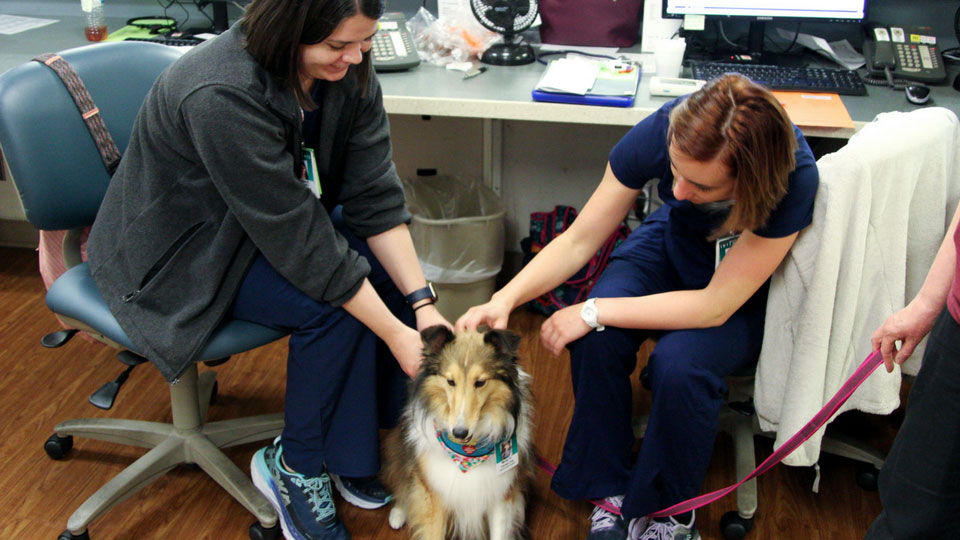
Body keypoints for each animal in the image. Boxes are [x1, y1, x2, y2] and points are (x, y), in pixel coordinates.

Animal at [380, 324, 532, 540]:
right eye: (450, 381)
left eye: (480, 382)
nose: (459, 432)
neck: (467, 454)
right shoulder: (434, 495)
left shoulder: (501, 495)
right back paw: (398, 513)